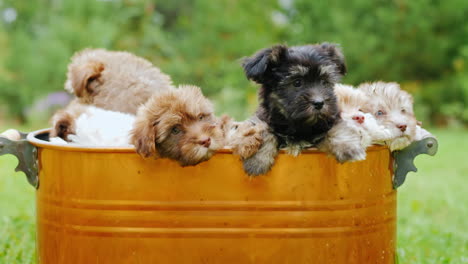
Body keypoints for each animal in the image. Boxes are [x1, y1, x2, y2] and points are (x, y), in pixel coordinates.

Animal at [241, 42, 348, 175]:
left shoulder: (332, 117)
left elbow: (337, 129)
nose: (319, 103)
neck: (299, 125)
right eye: (297, 82)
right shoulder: (261, 118)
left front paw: (345, 147)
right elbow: (263, 130)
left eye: (324, 82)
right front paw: (257, 161)